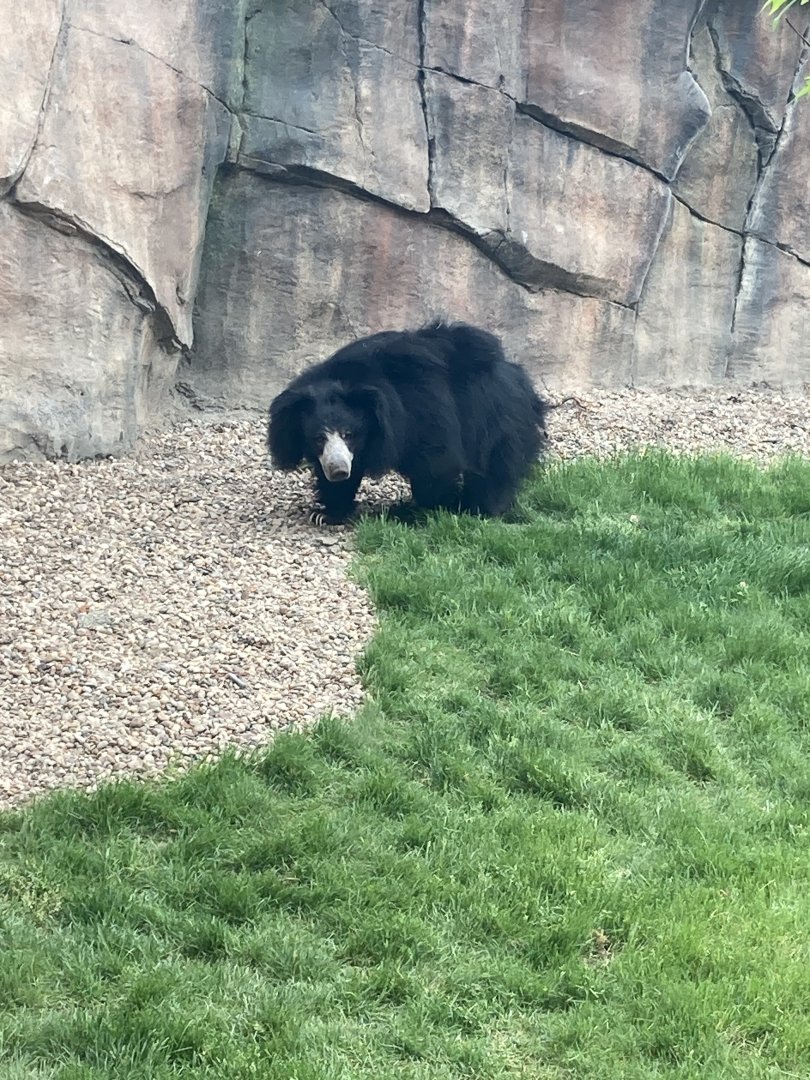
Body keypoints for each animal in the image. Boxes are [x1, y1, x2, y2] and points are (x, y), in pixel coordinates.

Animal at [267, 321, 548, 525]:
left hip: (495, 419)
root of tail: (518, 374)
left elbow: (436, 462)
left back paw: (482, 508)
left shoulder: (421, 411)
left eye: (348, 434)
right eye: (318, 438)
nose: (338, 470)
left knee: (495, 467)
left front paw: (433, 508)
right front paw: (326, 513)